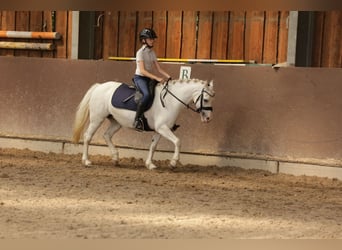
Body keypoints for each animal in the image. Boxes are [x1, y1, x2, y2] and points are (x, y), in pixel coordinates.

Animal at [72, 78, 215, 170]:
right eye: (206, 99)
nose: (208, 118)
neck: (170, 101)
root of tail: (99, 86)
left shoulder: (159, 130)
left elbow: (153, 146)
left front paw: (149, 164)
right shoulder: (163, 128)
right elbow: (177, 141)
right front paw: (173, 162)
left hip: (116, 122)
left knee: (107, 135)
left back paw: (116, 158)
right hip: (97, 119)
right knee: (88, 136)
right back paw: (86, 161)